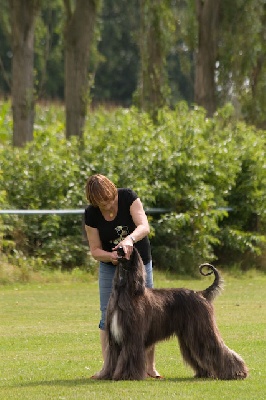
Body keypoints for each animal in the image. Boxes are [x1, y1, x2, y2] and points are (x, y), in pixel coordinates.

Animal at [96, 247, 248, 382]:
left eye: (128, 248)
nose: (119, 249)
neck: (125, 290)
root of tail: (201, 293)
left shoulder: (132, 337)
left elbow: (129, 357)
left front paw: (126, 376)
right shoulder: (114, 339)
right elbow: (112, 359)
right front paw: (107, 374)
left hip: (202, 330)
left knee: (217, 349)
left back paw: (237, 373)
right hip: (190, 336)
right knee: (199, 353)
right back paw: (205, 373)